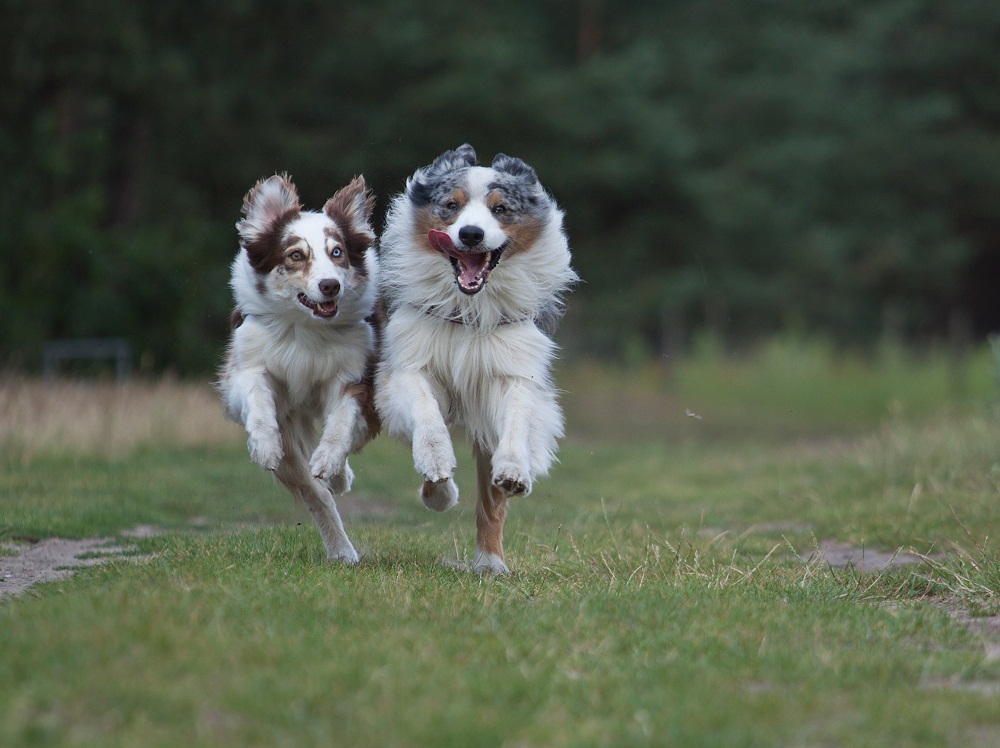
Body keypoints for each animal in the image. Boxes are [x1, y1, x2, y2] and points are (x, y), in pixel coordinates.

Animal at [221, 174, 380, 560]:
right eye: (296, 255)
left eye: (337, 252)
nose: (330, 286)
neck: (306, 328)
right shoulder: (247, 366)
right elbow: (258, 398)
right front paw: (264, 445)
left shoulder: (353, 374)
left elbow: (342, 422)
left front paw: (329, 461)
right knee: (315, 494)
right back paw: (341, 549)